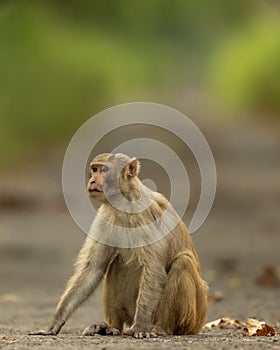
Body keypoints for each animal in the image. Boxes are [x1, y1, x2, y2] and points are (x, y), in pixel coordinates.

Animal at [30, 152, 209, 338]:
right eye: (94, 170)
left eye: (104, 170)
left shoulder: (145, 215)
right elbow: (92, 269)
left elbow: (153, 269)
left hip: (192, 318)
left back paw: (161, 327)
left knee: (183, 261)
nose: (92, 181)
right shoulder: (105, 216)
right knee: (117, 263)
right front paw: (54, 323)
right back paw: (110, 326)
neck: (125, 202)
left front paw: (141, 327)